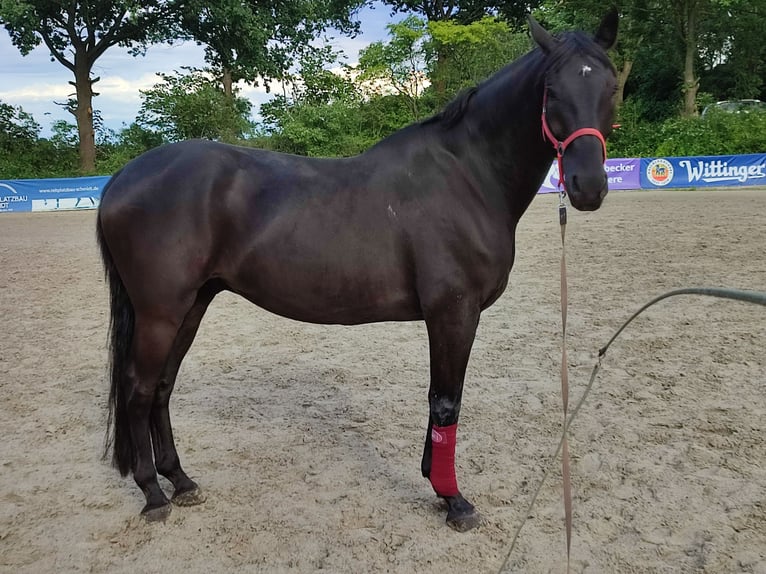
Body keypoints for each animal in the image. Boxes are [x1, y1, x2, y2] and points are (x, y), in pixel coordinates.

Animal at [97, 11, 618, 532]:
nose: (588, 186)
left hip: (192, 304)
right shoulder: (454, 312)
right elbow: (447, 401)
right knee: (138, 389)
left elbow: (440, 398)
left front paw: (435, 481)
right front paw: (454, 500)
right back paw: (153, 494)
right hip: (161, 313)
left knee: (162, 387)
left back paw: (181, 482)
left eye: (611, 85)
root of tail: (121, 179)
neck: (467, 177)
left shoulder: (450, 316)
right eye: (553, 89)